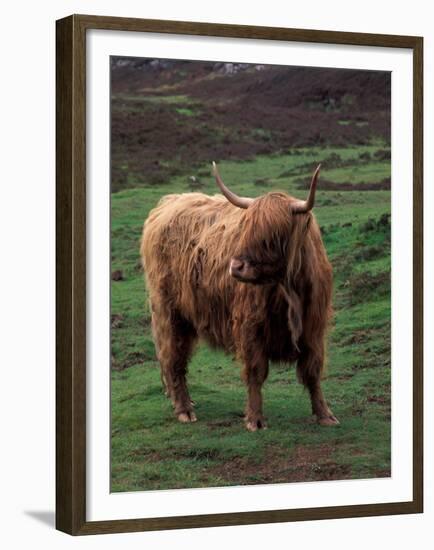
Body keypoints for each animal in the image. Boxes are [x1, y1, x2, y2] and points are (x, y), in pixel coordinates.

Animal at [141, 163, 338, 432]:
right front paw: (255, 419)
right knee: (173, 358)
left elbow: (312, 372)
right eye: (245, 229)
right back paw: (184, 409)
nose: (236, 267)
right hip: (169, 312)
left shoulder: (313, 328)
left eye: (274, 235)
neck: (288, 290)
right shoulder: (250, 326)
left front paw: (324, 414)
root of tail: (168, 203)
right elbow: (256, 372)